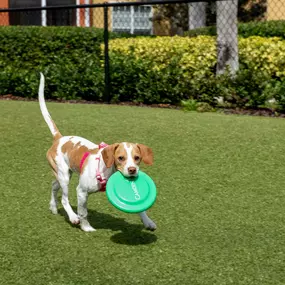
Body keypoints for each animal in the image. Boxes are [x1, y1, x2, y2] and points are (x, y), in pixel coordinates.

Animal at [37, 72, 155, 231]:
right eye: (120, 158)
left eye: (137, 158)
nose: (132, 170)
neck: (107, 170)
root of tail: (59, 138)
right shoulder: (81, 192)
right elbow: (83, 212)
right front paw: (86, 227)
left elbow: (141, 208)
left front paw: (148, 221)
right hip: (64, 176)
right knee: (64, 199)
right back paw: (72, 217)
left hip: (63, 174)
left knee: (54, 186)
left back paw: (53, 207)